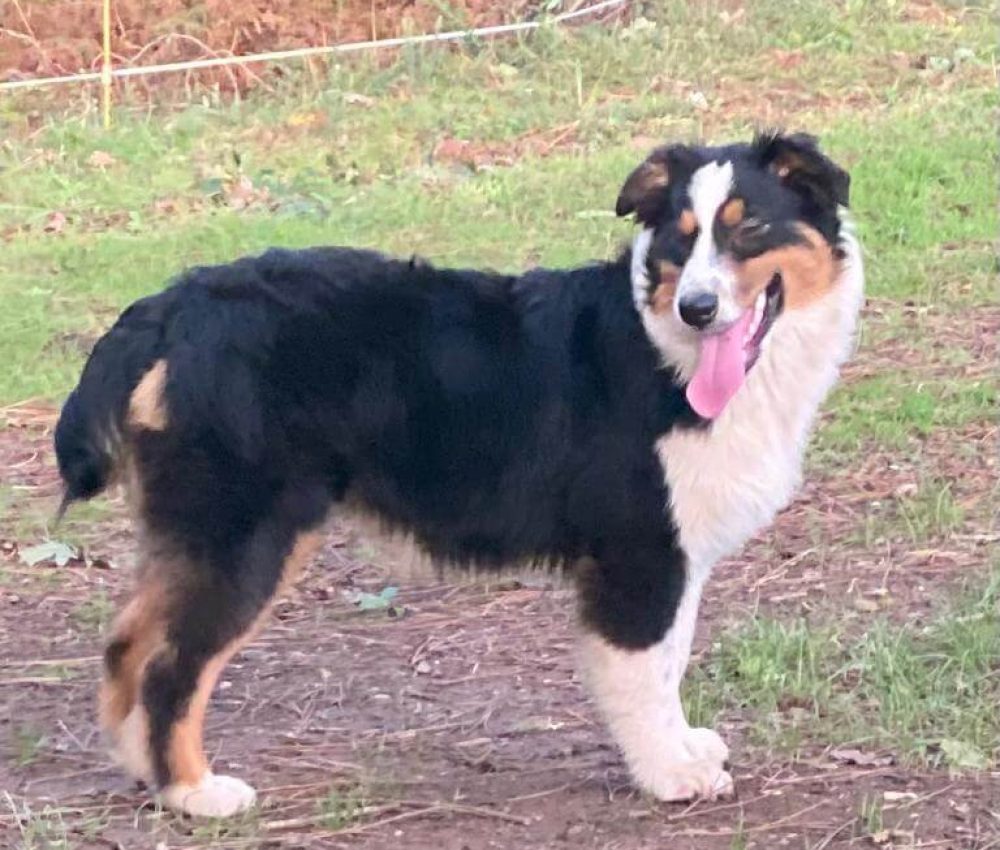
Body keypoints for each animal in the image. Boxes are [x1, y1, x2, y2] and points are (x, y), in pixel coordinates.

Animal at [54, 131, 864, 816]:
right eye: (682, 240)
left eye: (748, 230)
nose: (697, 308)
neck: (670, 354)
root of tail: (172, 306)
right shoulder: (639, 553)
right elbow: (644, 677)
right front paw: (670, 773)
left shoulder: (675, 553)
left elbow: (670, 662)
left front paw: (685, 748)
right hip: (247, 535)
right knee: (173, 670)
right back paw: (195, 792)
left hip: (199, 531)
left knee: (127, 644)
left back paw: (144, 771)